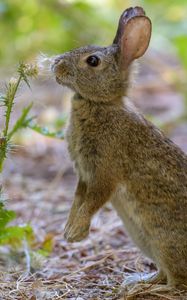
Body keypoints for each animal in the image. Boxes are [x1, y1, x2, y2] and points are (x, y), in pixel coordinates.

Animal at [51, 6, 187, 290]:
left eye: (93, 61)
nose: (55, 65)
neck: (100, 104)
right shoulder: (84, 174)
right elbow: (78, 198)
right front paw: (70, 231)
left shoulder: (104, 171)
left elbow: (93, 200)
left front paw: (75, 232)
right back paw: (137, 280)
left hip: (163, 240)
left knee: (176, 281)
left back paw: (142, 288)